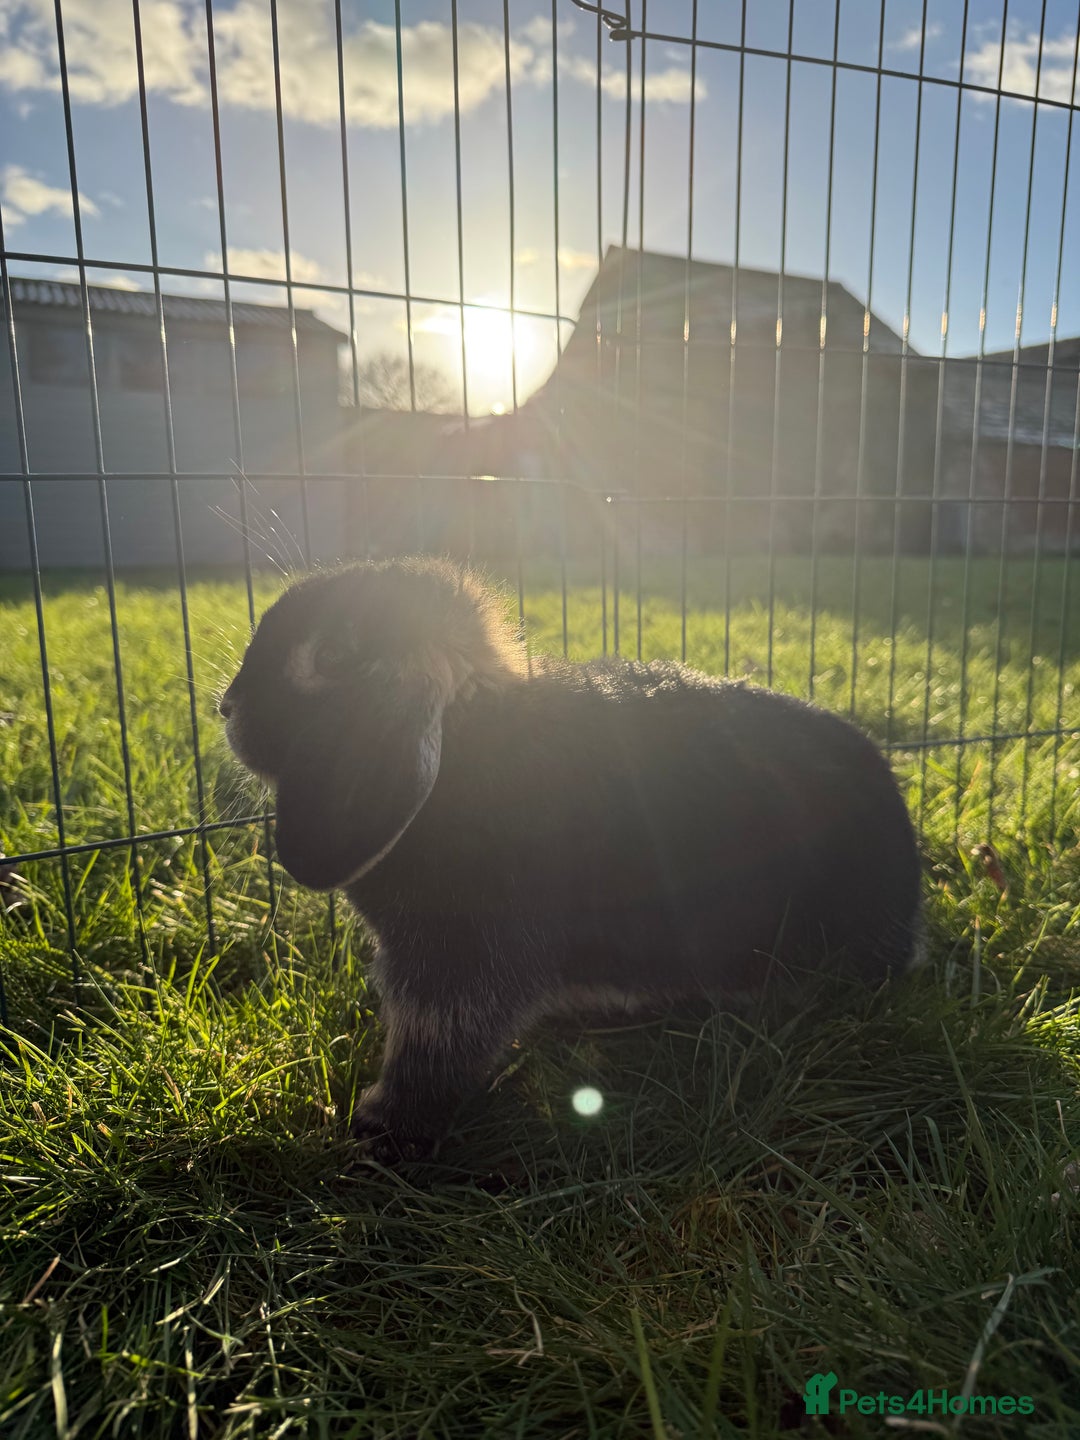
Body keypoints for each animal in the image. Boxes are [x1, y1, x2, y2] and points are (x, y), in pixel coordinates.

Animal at [221, 556, 922, 1162]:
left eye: (333, 657)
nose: (226, 708)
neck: (466, 746)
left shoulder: (461, 962)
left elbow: (436, 1047)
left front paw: (381, 1127)